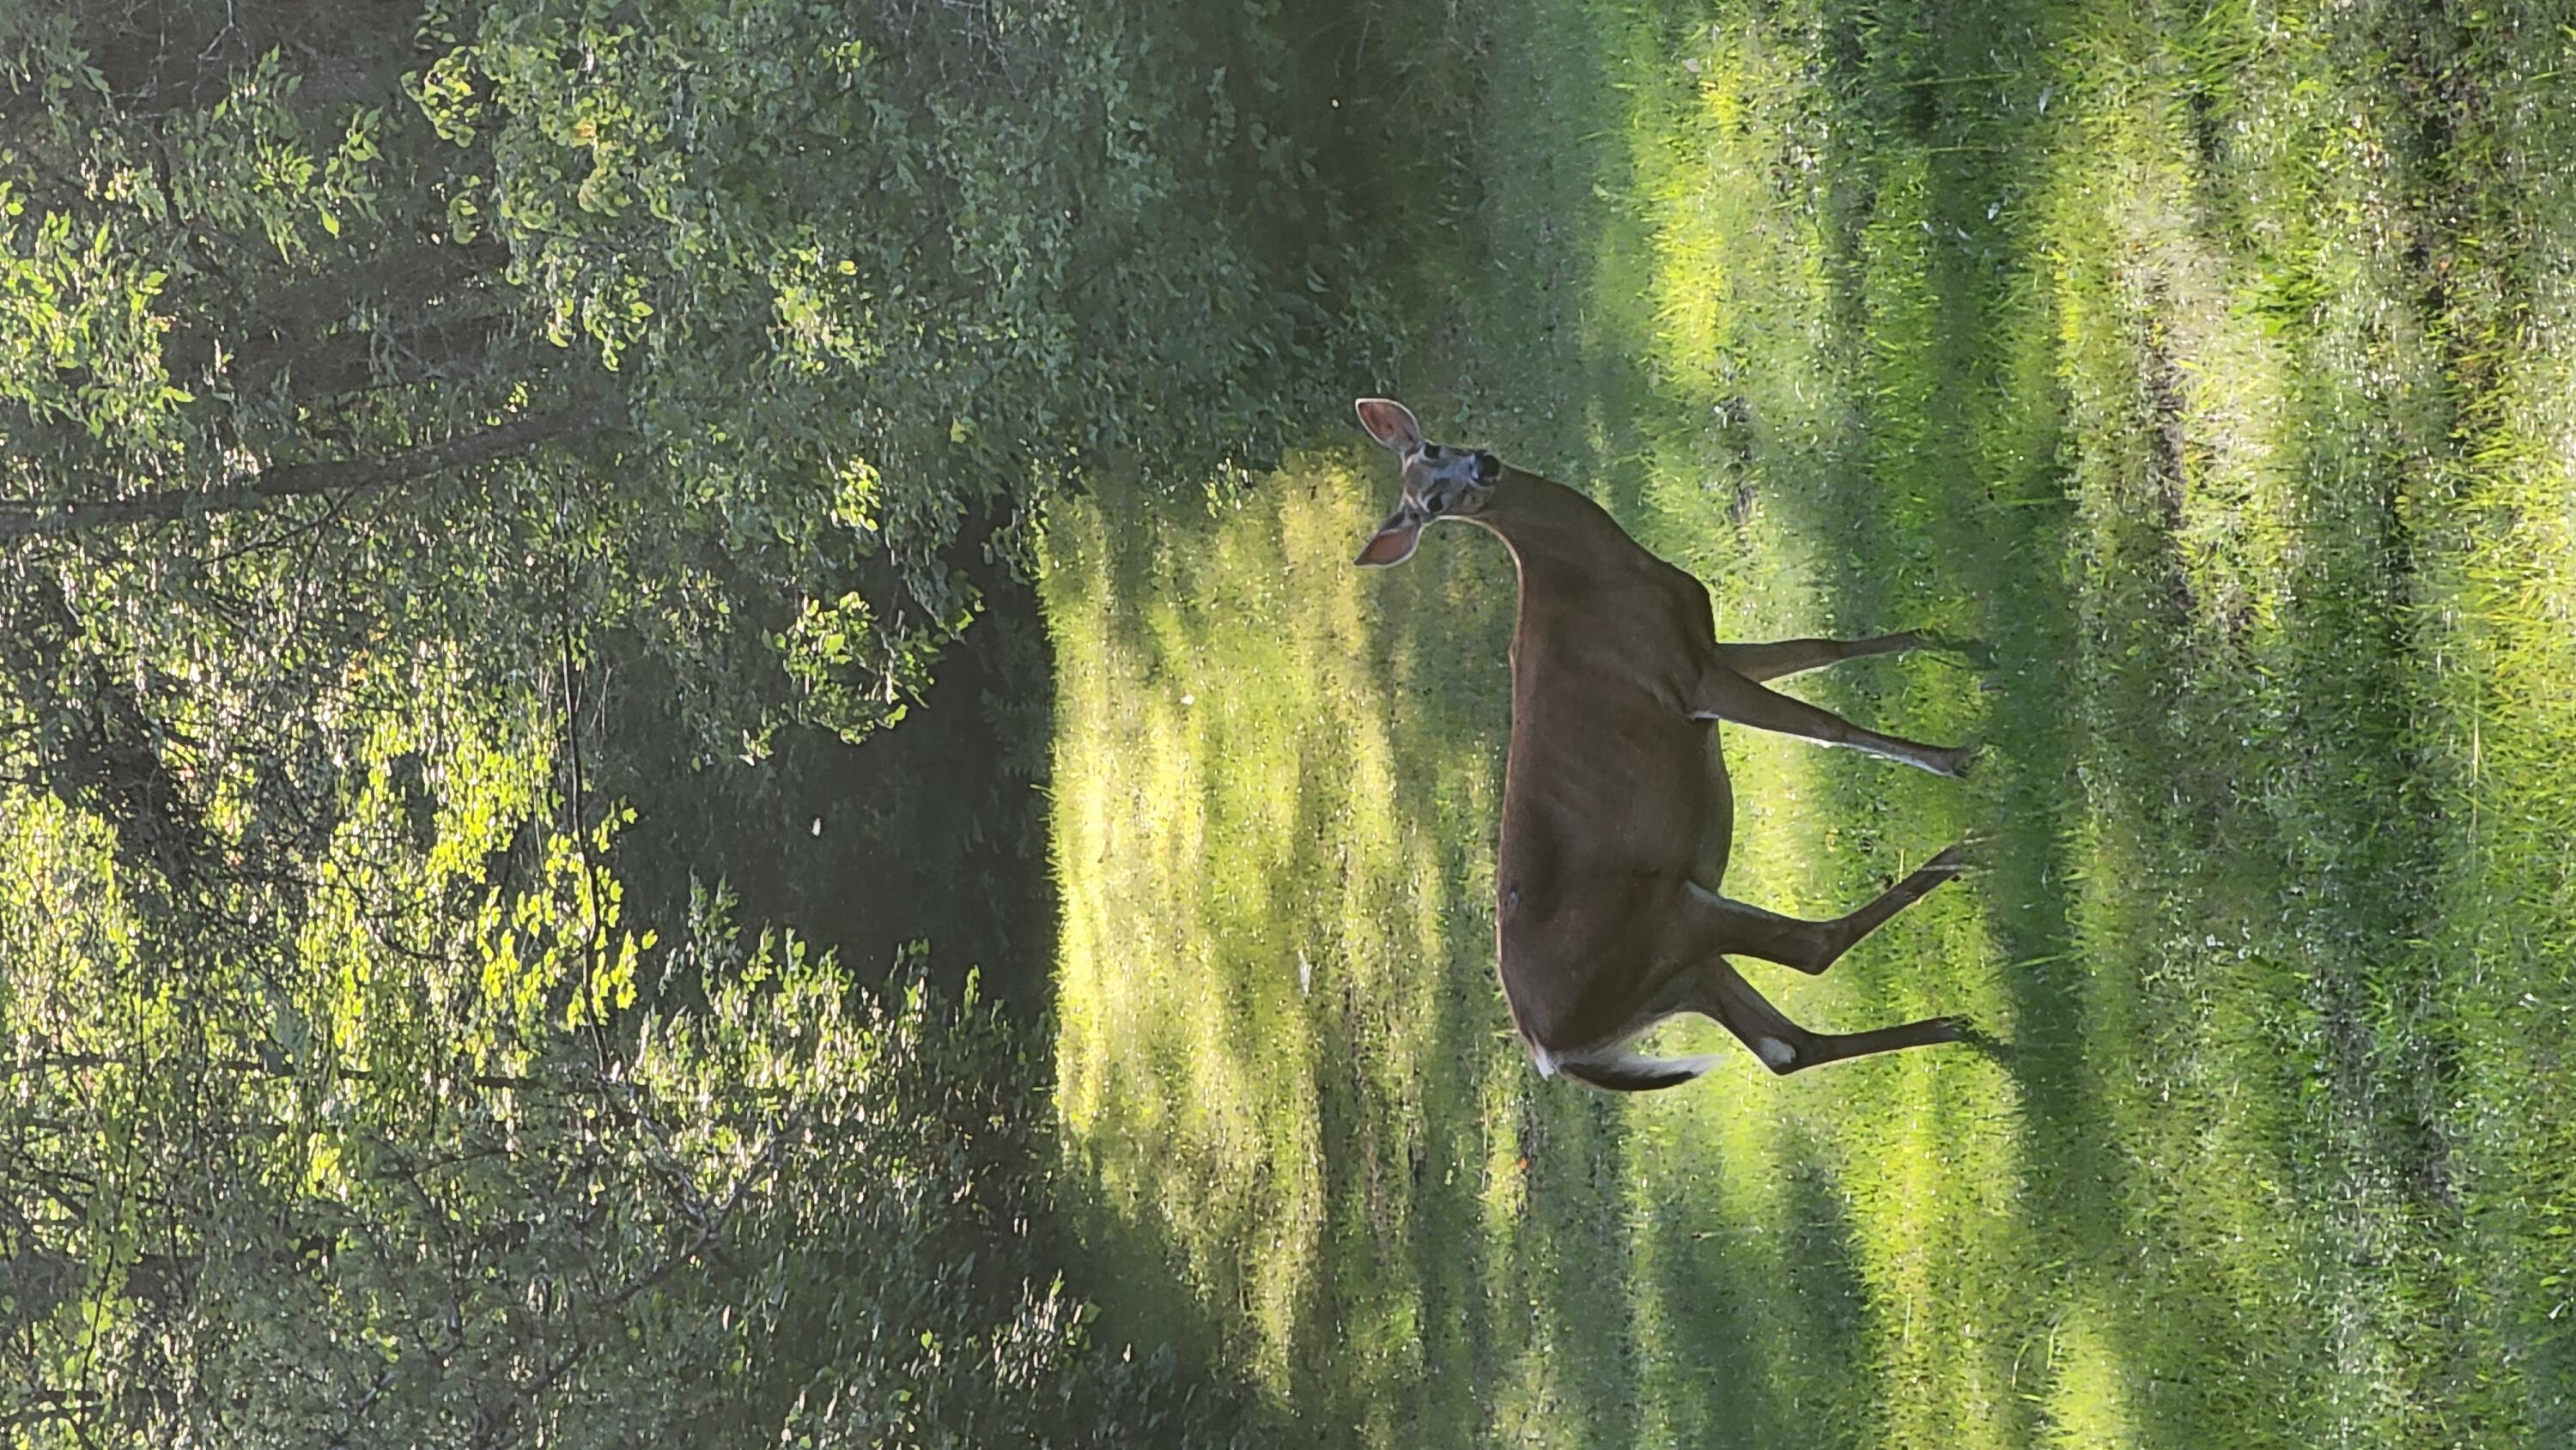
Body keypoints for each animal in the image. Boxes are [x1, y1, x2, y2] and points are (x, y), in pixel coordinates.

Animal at [1352, 397, 1982, 1090]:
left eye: (1433, 447)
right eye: (1430, 501)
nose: (1482, 466)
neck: (1596, 576)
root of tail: (1550, 1052)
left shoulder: (1706, 646)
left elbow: (1826, 646)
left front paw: (1950, 641)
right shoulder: (1687, 679)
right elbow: (1827, 727)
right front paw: (1953, 757)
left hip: (1673, 977)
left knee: (1784, 1047)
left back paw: (1957, 1025)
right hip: (1664, 918)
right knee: (1808, 951)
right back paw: (1962, 856)